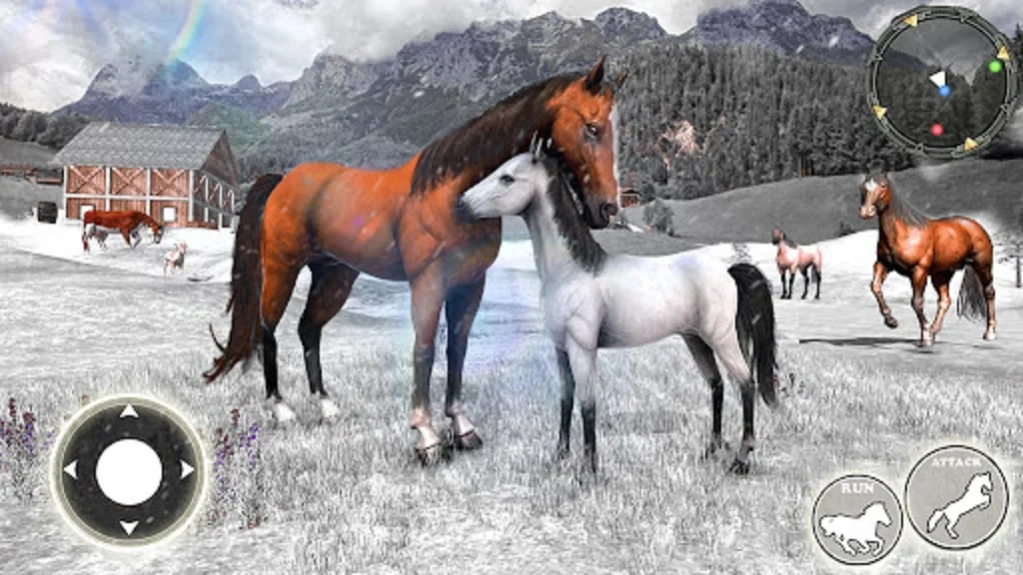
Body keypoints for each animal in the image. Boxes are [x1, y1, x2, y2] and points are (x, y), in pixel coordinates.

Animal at [203, 56, 627, 464]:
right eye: (592, 127)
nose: (607, 209)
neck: (454, 194)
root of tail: (282, 181)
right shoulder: (428, 283)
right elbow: (424, 350)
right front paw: (426, 438)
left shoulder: (471, 283)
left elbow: (457, 348)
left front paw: (462, 428)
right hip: (282, 269)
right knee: (268, 331)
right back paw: (281, 409)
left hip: (334, 277)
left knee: (309, 330)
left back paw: (326, 406)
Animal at [457, 149, 778, 474]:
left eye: (507, 177)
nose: (461, 204)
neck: (573, 271)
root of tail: (727, 271)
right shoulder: (561, 348)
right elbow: (565, 399)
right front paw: (559, 457)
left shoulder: (582, 348)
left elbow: (587, 404)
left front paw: (588, 470)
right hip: (695, 339)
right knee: (717, 385)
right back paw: (709, 451)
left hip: (721, 338)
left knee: (745, 383)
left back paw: (741, 460)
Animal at [858, 172, 996, 347]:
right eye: (863, 186)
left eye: (883, 186)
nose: (866, 212)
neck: (905, 232)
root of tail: (976, 226)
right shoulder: (883, 264)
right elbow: (875, 286)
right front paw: (891, 321)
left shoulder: (919, 270)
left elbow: (916, 302)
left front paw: (924, 336)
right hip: (941, 274)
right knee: (945, 300)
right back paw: (934, 331)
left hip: (983, 266)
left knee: (989, 292)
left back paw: (989, 333)